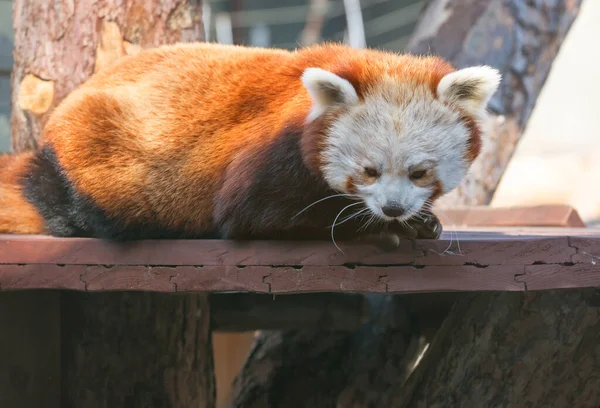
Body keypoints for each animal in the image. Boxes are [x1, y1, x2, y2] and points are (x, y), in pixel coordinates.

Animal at [0, 43, 502, 242]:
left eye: (419, 173)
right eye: (369, 171)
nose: (392, 209)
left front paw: (422, 220)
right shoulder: (272, 148)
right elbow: (252, 213)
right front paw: (379, 229)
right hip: (104, 154)